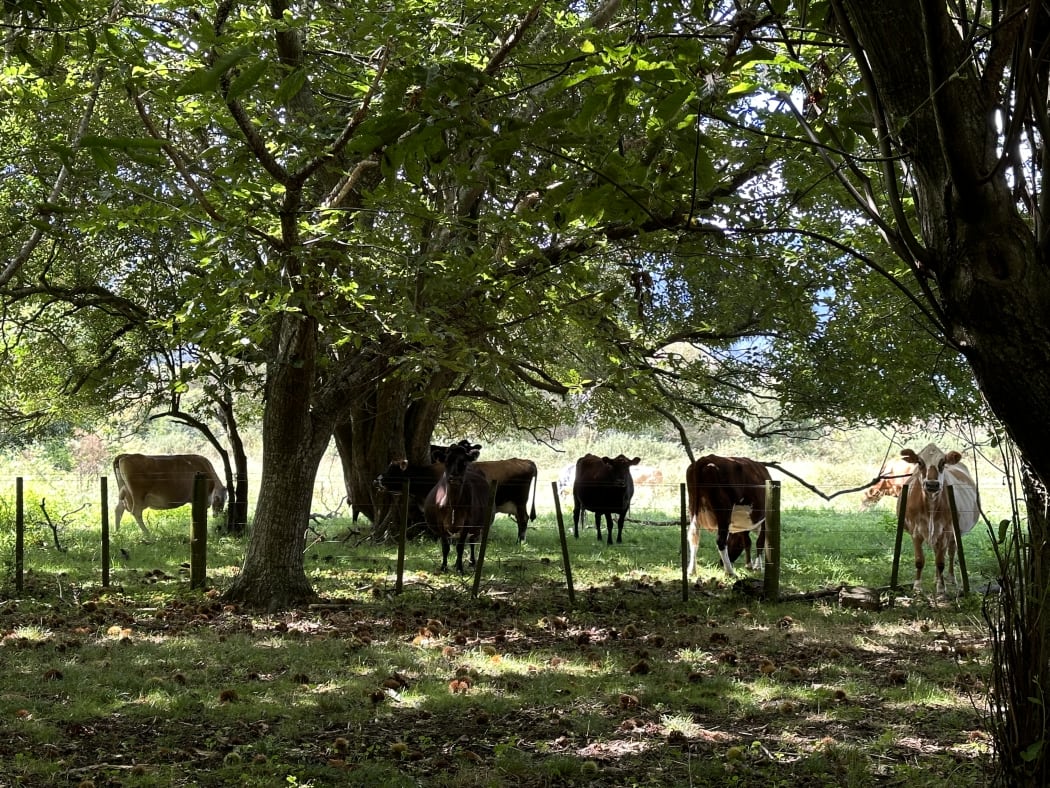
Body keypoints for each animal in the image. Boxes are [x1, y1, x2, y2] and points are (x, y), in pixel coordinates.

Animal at [899, 444, 980, 597]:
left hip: (954, 533)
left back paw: (950, 578)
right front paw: (917, 587)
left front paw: (941, 588)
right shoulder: (915, 532)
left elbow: (941, 561)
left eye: (942, 463)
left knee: (951, 552)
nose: (932, 485)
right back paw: (936, 578)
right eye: (919, 462)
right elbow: (919, 560)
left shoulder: (945, 532)